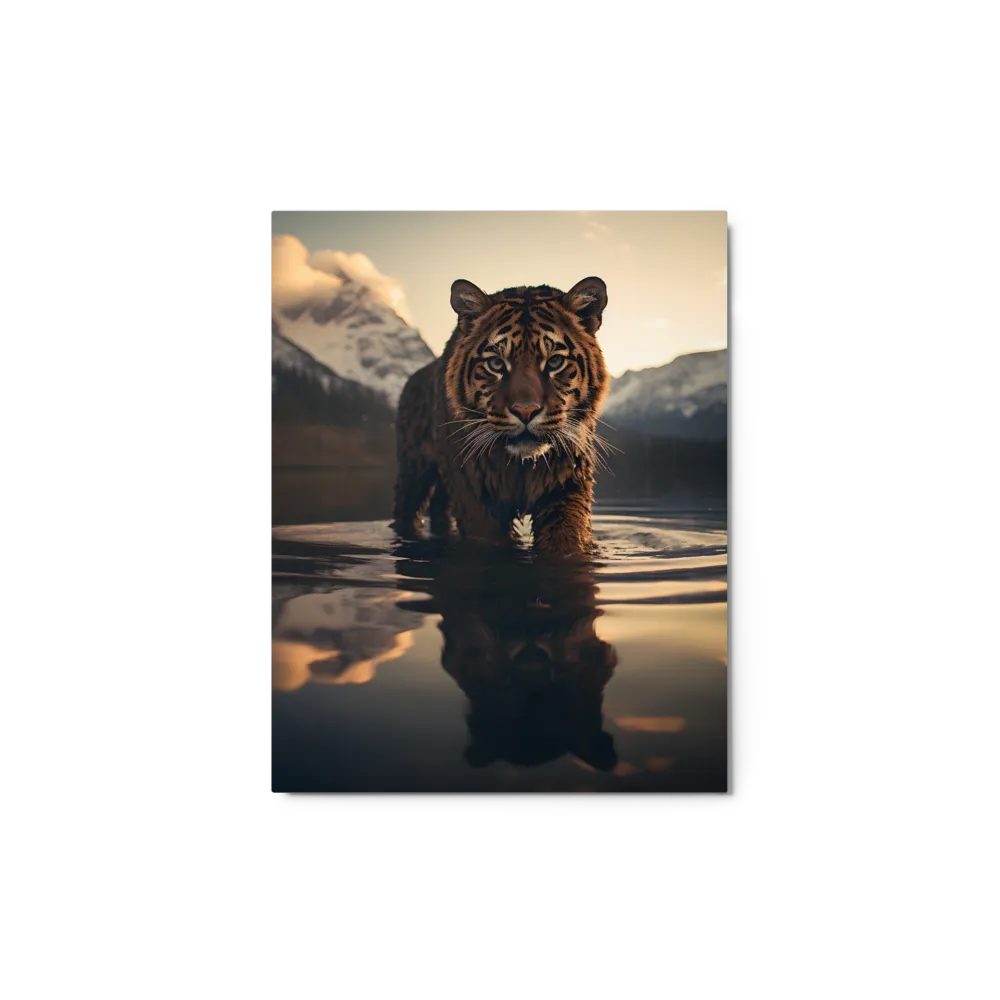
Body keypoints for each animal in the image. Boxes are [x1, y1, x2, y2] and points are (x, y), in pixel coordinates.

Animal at [391, 276, 611, 555]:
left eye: (554, 362)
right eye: (496, 364)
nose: (525, 411)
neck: (522, 466)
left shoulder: (566, 484)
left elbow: (566, 541)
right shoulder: (474, 493)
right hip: (413, 473)